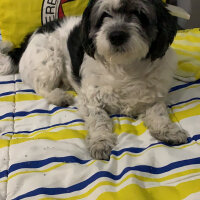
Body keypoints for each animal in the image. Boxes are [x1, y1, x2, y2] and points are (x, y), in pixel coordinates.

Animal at [0, 0, 188, 159]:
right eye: (104, 15)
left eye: (139, 13)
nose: (116, 35)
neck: (125, 68)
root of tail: (34, 33)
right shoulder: (91, 101)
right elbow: (99, 120)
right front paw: (100, 141)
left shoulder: (153, 98)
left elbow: (159, 113)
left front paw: (168, 130)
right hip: (50, 60)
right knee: (42, 87)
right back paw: (59, 96)